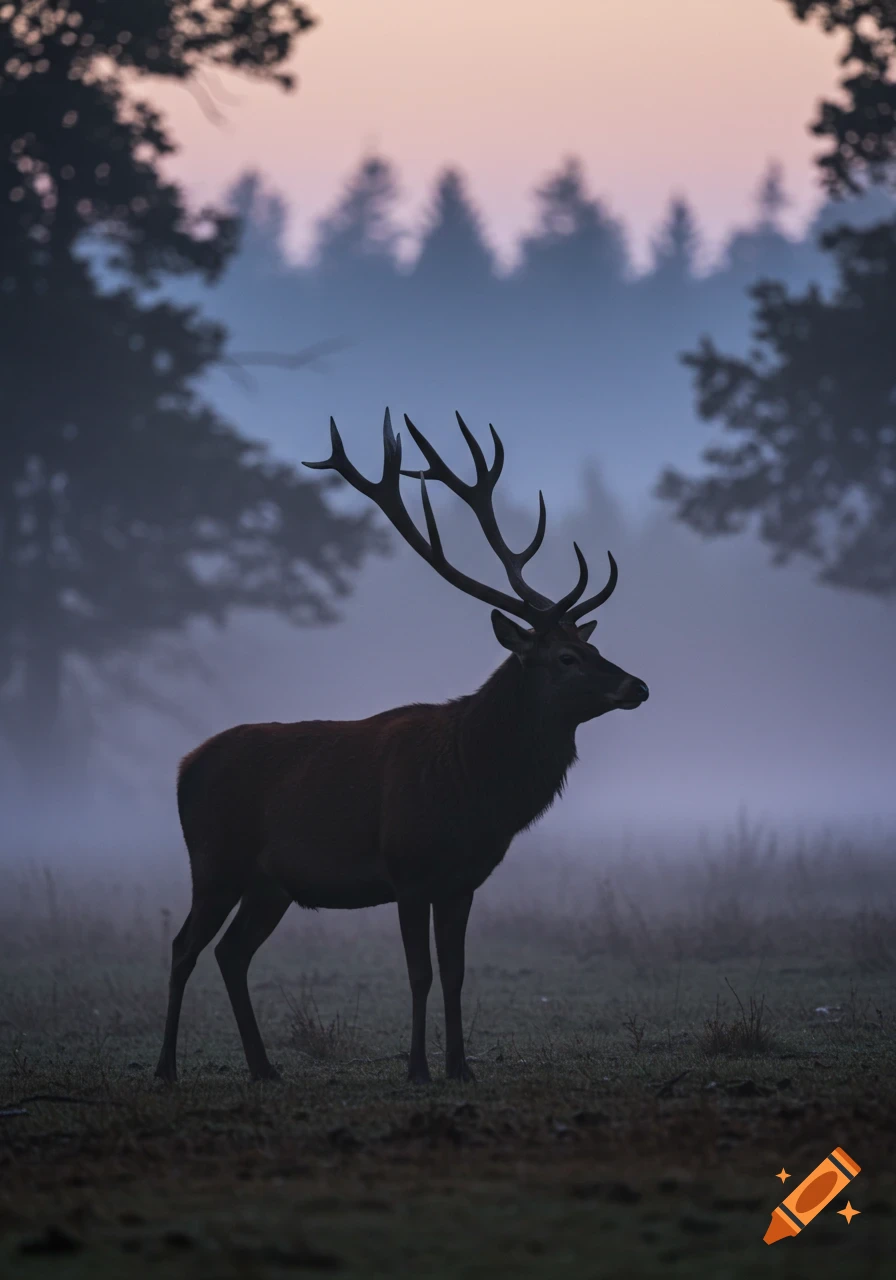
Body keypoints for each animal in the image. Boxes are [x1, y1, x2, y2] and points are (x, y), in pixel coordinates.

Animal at [155, 409, 649, 1085]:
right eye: (567, 657)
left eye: (595, 646)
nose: (637, 685)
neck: (474, 784)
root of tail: (183, 766)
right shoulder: (409, 869)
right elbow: (419, 975)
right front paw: (417, 1068)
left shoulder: (464, 881)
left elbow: (457, 974)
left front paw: (461, 1067)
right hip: (214, 861)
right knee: (184, 947)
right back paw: (165, 1069)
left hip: (269, 884)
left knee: (231, 953)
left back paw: (264, 1068)